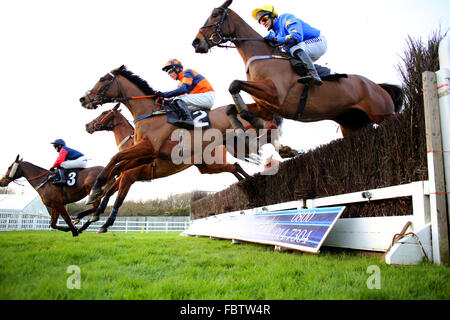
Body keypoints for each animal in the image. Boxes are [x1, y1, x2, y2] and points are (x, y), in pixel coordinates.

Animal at [78, 65, 274, 205]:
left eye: (102, 79)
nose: (83, 99)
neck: (150, 114)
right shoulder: (145, 155)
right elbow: (118, 166)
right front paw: (97, 191)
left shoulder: (149, 148)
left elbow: (115, 158)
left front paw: (97, 188)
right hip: (210, 165)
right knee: (235, 166)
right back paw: (250, 186)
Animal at [192, 0, 402, 136]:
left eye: (215, 14)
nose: (196, 42)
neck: (263, 57)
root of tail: (377, 86)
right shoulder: (266, 106)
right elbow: (231, 108)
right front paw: (242, 125)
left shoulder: (275, 94)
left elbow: (234, 84)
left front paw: (254, 122)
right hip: (352, 125)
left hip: (383, 115)